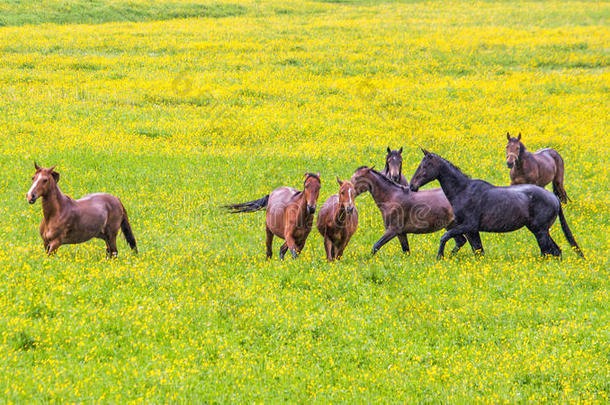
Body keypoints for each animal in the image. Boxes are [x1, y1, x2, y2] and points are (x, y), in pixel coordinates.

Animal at [406, 148, 580, 258]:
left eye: (425, 166)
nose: (412, 186)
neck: (463, 191)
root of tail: (554, 198)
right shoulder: (472, 230)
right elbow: (478, 251)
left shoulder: (468, 226)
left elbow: (445, 237)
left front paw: (440, 256)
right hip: (539, 230)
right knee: (555, 251)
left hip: (540, 231)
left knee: (549, 252)